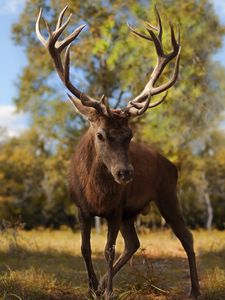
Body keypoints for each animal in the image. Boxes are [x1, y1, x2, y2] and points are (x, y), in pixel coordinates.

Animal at [36, 5, 201, 300]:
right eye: (101, 134)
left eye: (129, 135)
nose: (125, 173)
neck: (96, 195)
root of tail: (172, 165)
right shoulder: (82, 208)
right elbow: (85, 248)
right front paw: (93, 288)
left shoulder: (115, 208)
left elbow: (108, 250)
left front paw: (109, 291)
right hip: (131, 212)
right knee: (134, 243)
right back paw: (103, 284)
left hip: (167, 194)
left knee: (186, 236)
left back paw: (194, 290)